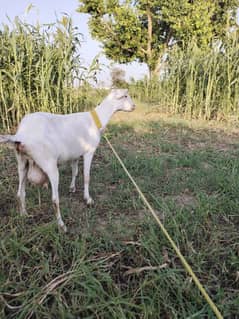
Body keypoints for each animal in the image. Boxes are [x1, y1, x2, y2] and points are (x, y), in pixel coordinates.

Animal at [0, 89, 135, 231]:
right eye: (125, 96)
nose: (134, 106)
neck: (96, 120)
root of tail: (20, 135)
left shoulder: (74, 155)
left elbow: (75, 171)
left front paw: (72, 188)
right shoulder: (89, 152)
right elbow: (86, 176)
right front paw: (88, 199)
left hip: (22, 162)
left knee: (20, 193)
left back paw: (24, 215)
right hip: (50, 166)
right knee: (54, 200)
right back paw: (62, 225)